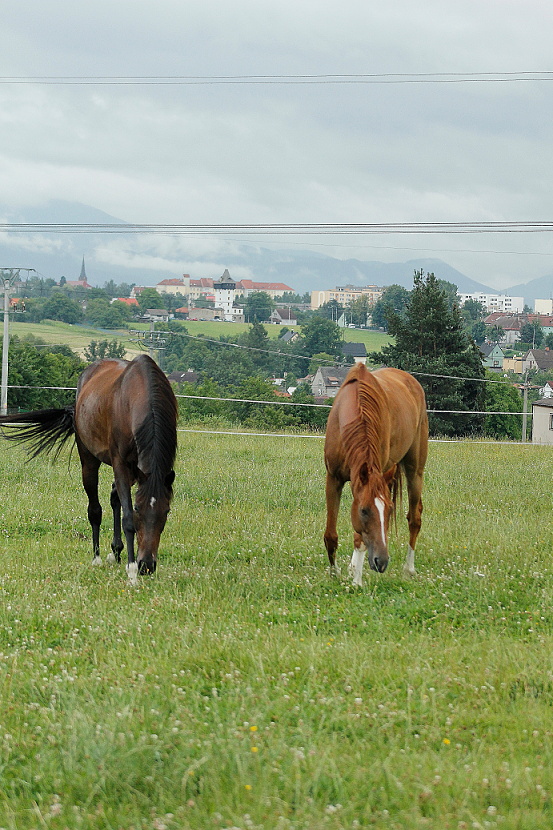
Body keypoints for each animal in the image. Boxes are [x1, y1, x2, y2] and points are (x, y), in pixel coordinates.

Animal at [0, 356, 177, 584]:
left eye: (167, 511)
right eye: (139, 509)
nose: (146, 565)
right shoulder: (120, 463)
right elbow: (127, 518)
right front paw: (131, 572)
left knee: (114, 496)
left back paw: (116, 550)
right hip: (89, 460)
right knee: (95, 509)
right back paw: (98, 557)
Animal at [324, 368, 426, 588]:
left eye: (389, 511)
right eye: (364, 510)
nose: (382, 561)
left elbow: (360, 539)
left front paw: (356, 580)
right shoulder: (333, 478)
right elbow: (331, 535)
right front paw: (335, 573)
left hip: (415, 470)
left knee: (415, 518)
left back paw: (408, 569)